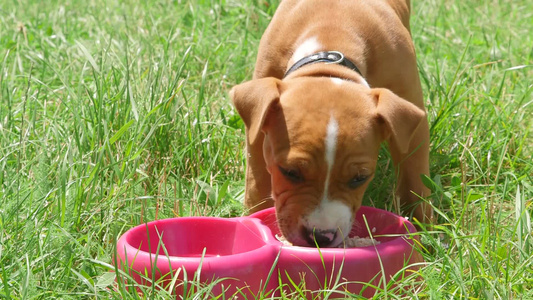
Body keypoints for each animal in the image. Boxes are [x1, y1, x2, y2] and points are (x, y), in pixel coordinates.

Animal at [231, 0, 430, 247]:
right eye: (290, 172)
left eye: (360, 178)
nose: (320, 237)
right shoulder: (258, 126)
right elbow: (257, 180)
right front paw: (252, 217)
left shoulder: (412, 122)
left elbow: (414, 179)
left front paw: (425, 232)